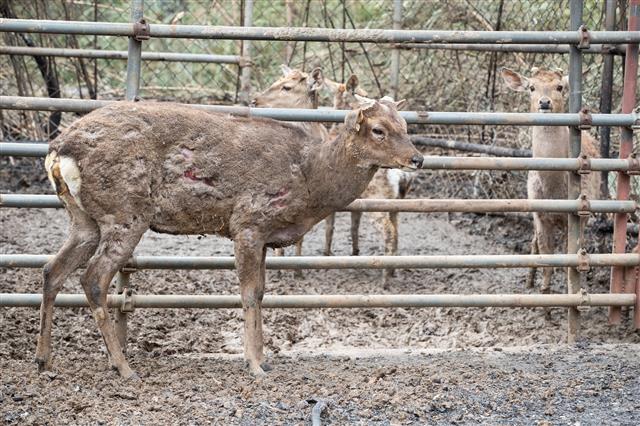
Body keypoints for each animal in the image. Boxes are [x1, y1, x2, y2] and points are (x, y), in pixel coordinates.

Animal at [324, 75, 416, 284]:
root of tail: (400, 176)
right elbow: (353, 225)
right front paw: (355, 252)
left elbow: (330, 227)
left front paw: (326, 255)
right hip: (396, 202)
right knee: (397, 230)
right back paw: (393, 270)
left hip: (378, 199)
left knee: (389, 231)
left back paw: (385, 279)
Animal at [502, 67, 604, 292]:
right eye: (531, 87)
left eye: (559, 87)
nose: (544, 102)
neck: (555, 191)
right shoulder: (539, 213)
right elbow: (546, 254)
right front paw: (544, 293)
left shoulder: (578, 217)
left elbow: (569, 256)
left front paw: (571, 290)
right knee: (534, 241)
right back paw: (529, 280)